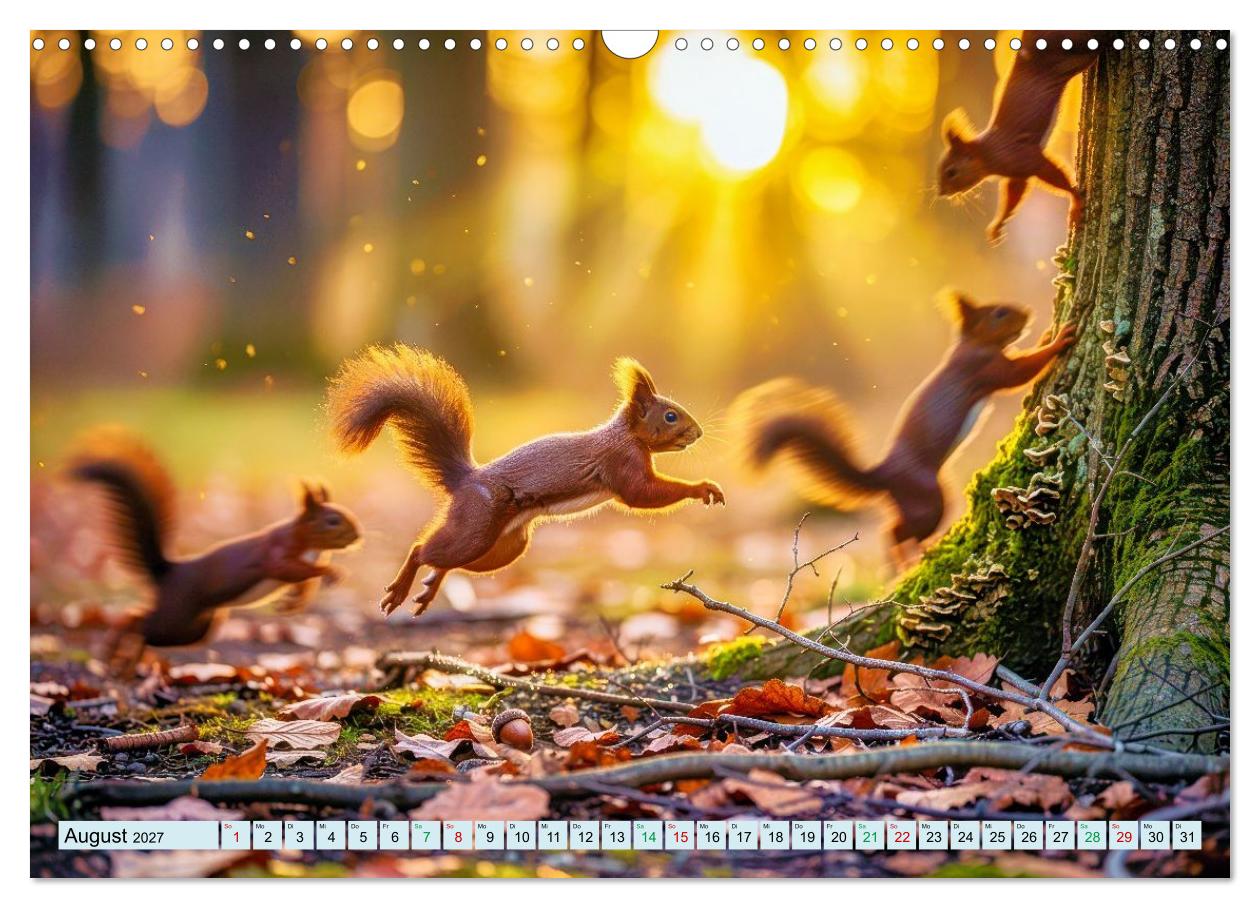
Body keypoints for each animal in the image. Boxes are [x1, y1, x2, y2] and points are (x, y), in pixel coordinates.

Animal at [71, 430, 362, 646]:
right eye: (332, 521)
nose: (358, 535)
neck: (309, 543)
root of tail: (166, 572)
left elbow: (302, 579)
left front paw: (296, 599)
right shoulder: (278, 551)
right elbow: (287, 568)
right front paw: (331, 572)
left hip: (195, 627)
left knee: (149, 632)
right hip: (175, 615)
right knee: (140, 621)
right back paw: (116, 643)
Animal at [325, 345, 725, 617]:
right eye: (670, 416)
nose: (699, 433)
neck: (626, 435)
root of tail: (466, 479)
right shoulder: (621, 463)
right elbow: (641, 495)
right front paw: (703, 488)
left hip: (504, 547)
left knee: (447, 561)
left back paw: (429, 587)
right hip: (476, 524)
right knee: (422, 549)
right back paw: (401, 588)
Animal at [736, 293, 1076, 565]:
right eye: (999, 313)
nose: (1027, 312)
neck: (972, 344)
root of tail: (885, 475)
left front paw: (1048, 333)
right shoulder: (984, 368)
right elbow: (1021, 371)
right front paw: (1060, 337)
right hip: (928, 500)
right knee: (897, 531)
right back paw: (902, 556)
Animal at [937, 30, 1098, 244]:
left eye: (951, 172)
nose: (941, 192)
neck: (987, 153)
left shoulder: (1021, 158)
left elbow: (1050, 172)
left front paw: (1075, 200)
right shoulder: (1017, 174)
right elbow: (1015, 192)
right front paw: (997, 226)